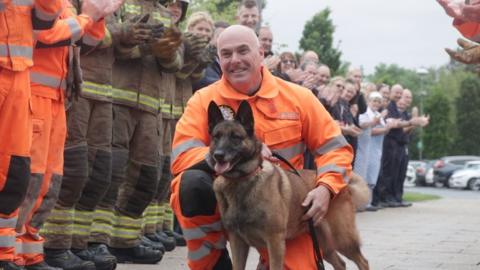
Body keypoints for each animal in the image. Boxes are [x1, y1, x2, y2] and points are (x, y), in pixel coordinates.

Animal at [208, 100, 370, 270]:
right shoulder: (237, 243)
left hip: (342, 238)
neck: (240, 180)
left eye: (236, 137)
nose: (218, 155)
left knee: (362, 262)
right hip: (323, 244)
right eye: (216, 137)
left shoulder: (275, 242)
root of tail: (343, 185)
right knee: (340, 263)